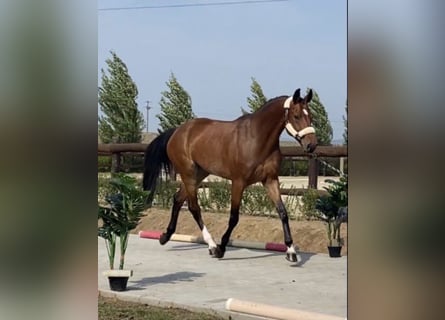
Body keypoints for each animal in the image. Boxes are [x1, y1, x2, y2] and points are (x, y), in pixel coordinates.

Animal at [142, 88, 316, 262]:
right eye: (296, 116)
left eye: (310, 116)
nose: (312, 145)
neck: (256, 138)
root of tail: (177, 131)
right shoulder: (238, 182)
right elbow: (234, 217)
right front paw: (221, 248)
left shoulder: (270, 180)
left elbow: (283, 212)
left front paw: (291, 251)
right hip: (188, 174)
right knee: (194, 207)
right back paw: (212, 246)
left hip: (198, 174)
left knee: (178, 199)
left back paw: (165, 236)